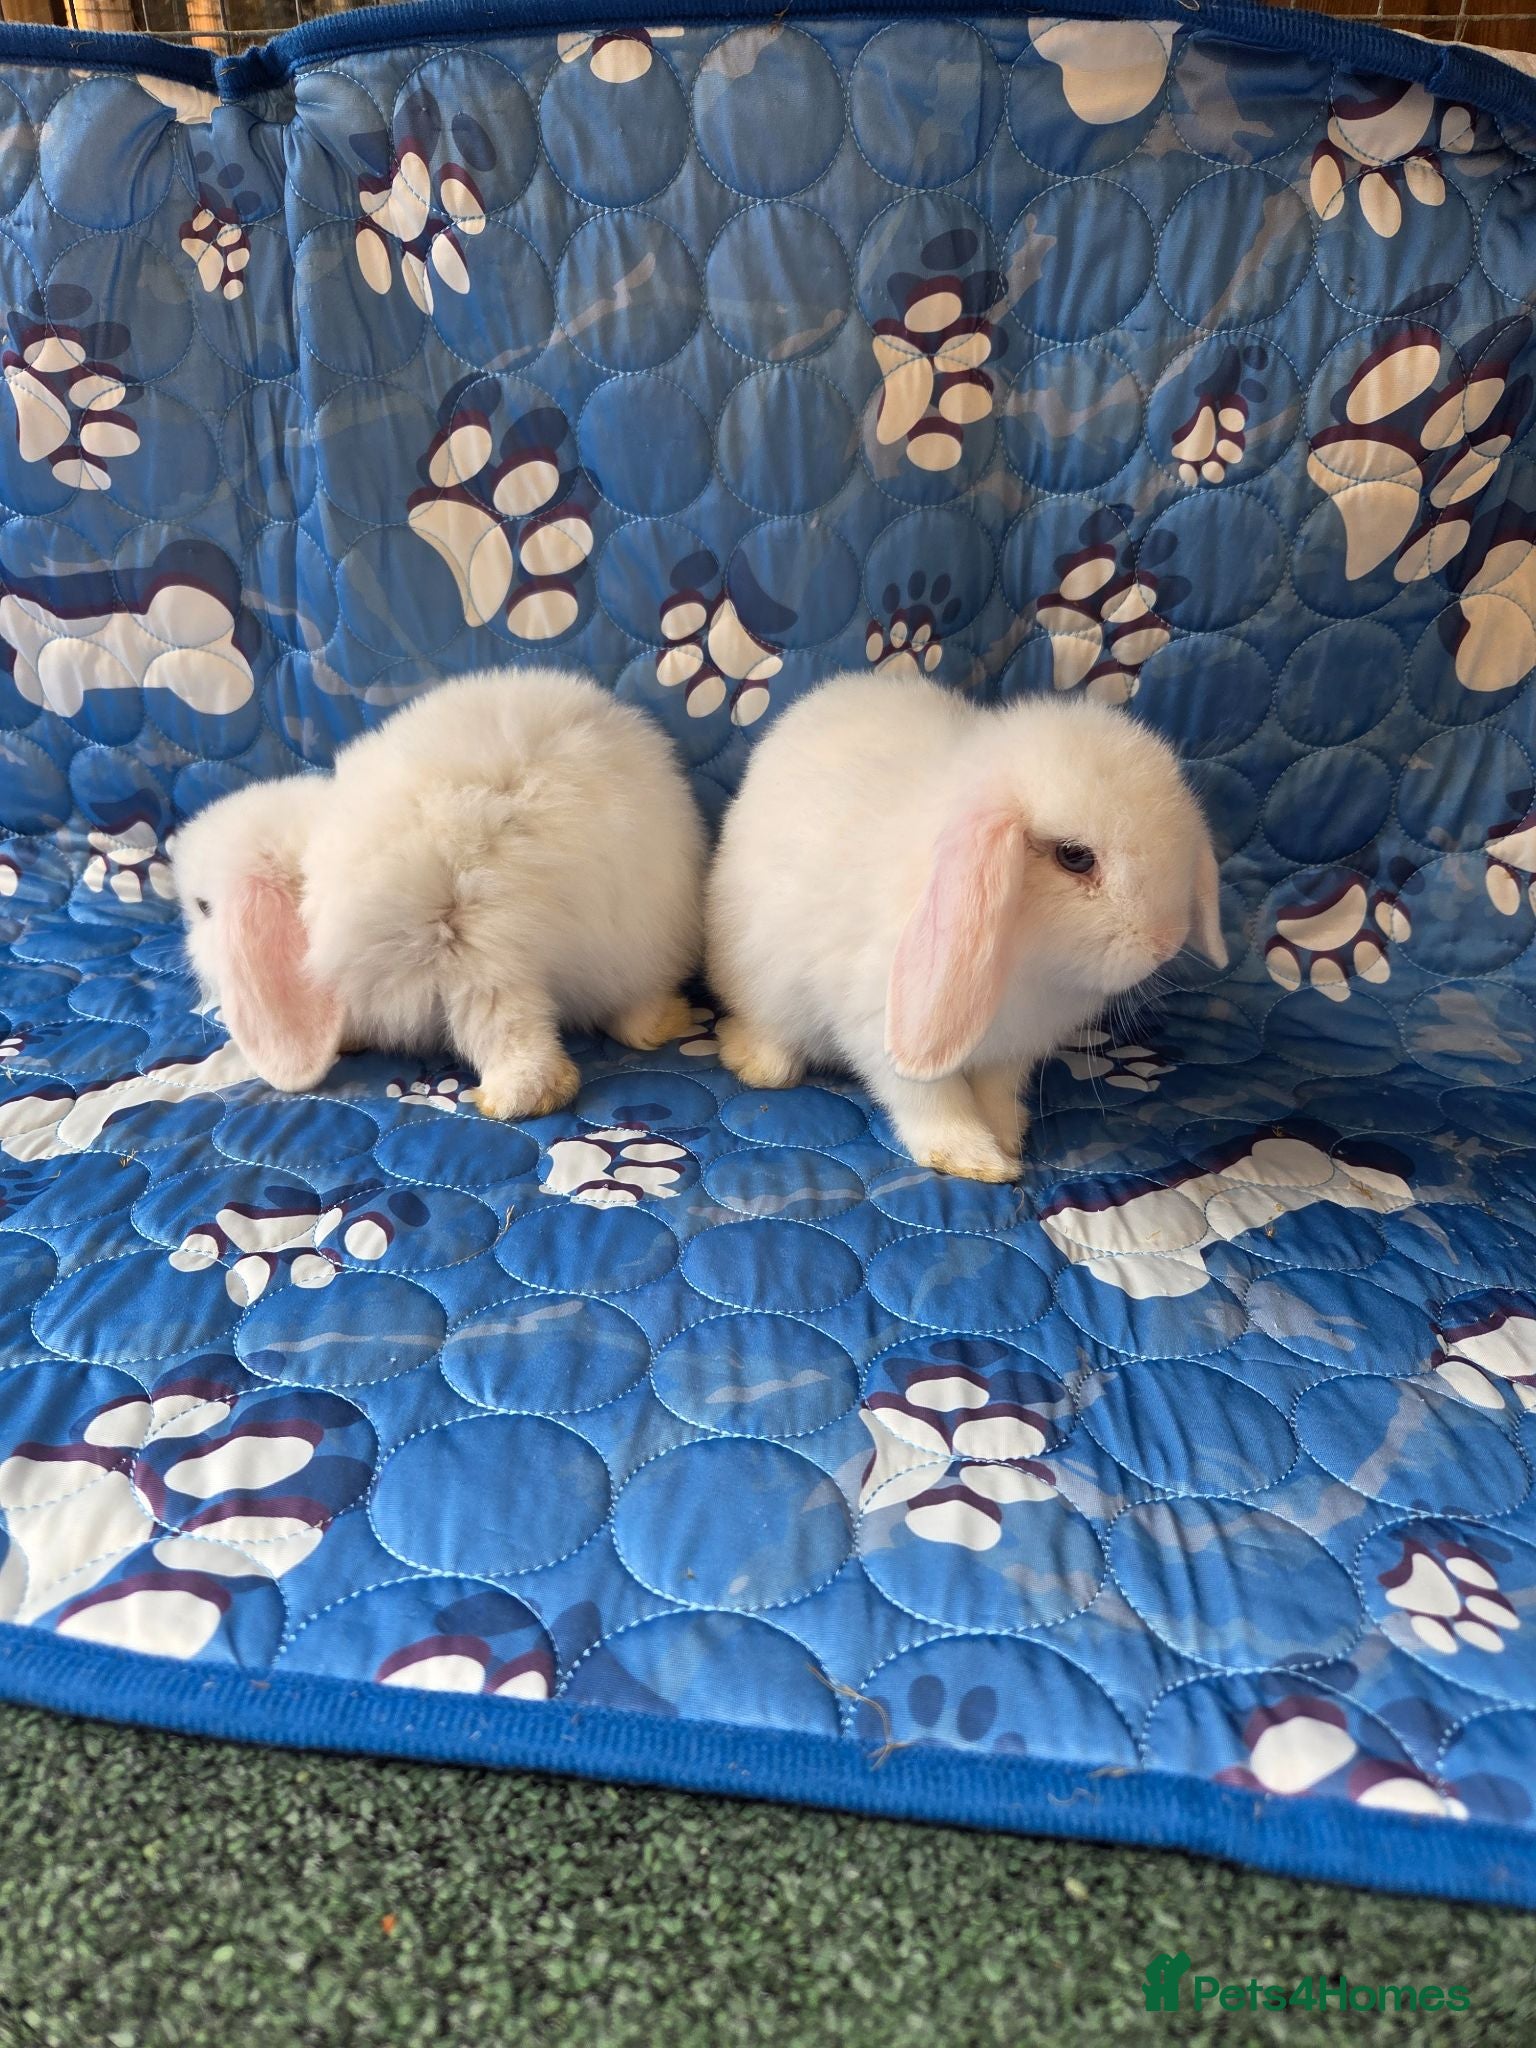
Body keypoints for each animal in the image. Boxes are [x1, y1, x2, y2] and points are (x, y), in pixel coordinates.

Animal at [171, 666, 706, 1118]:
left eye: (203, 907)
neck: (308, 862)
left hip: (466, 945)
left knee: (514, 1037)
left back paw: (507, 1099)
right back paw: (662, 1022)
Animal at [706, 672, 1226, 1183]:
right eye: (1075, 857)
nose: (1164, 943)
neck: (1027, 957)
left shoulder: (1011, 1051)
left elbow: (995, 1091)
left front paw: (1007, 1134)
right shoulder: (882, 1025)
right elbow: (931, 1099)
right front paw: (976, 1160)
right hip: (762, 977)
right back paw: (757, 1064)